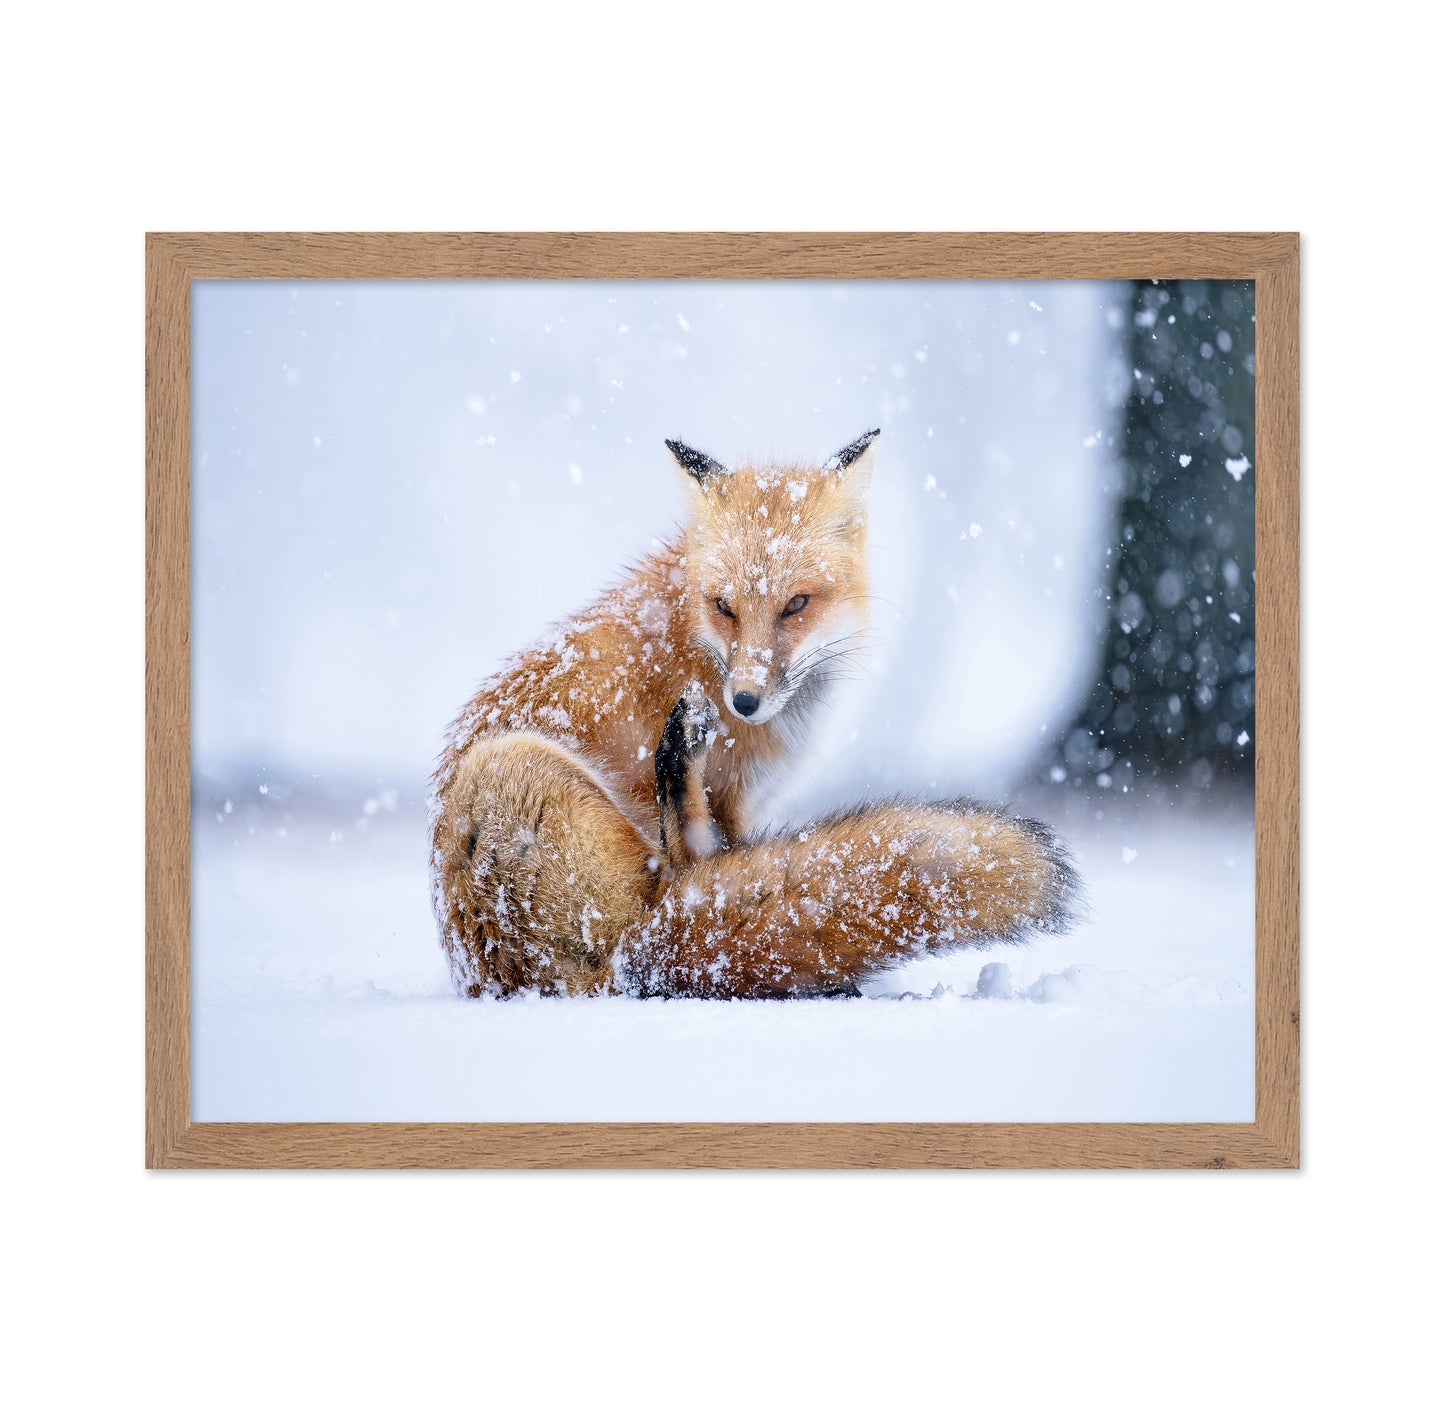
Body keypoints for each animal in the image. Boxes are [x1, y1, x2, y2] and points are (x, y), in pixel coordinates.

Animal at [429, 428, 1079, 998]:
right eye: (725, 607)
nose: (743, 703)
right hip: (509, 765)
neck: (695, 646)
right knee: (683, 878)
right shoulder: (735, 801)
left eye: (795, 604)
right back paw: (678, 757)